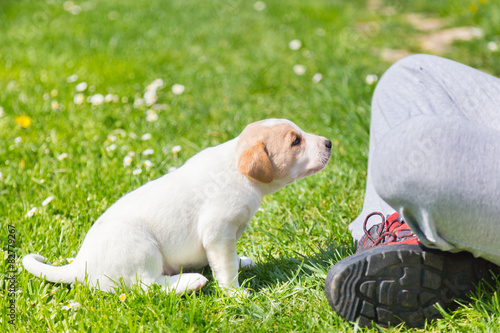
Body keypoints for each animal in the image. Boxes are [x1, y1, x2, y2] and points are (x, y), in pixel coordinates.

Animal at [23, 118, 330, 294]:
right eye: (295, 141)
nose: (329, 142)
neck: (236, 167)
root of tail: (81, 265)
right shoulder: (218, 232)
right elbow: (226, 266)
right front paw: (235, 293)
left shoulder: (224, 238)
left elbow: (227, 259)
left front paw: (241, 262)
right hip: (141, 246)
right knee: (146, 286)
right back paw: (190, 282)